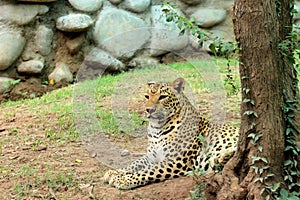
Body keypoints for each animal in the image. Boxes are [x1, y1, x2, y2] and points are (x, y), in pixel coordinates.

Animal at [103, 77, 239, 190]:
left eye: (162, 97)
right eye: (146, 96)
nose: (149, 110)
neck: (156, 128)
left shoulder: (177, 161)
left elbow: (148, 171)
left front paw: (123, 180)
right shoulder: (151, 157)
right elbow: (135, 164)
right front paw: (114, 172)